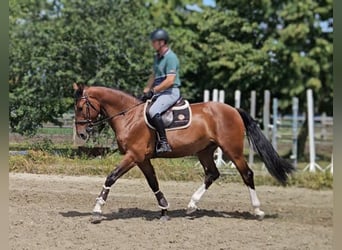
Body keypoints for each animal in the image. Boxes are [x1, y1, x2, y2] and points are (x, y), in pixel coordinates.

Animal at [73, 83, 296, 223]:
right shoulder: (142, 159)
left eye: (81, 107)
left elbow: (111, 177)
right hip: (205, 151)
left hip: (232, 150)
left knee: (247, 174)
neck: (129, 116)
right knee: (212, 174)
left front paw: (97, 209)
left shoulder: (133, 156)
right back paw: (191, 205)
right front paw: (164, 209)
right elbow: (153, 182)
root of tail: (233, 110)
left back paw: (257, 210)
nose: (82, 134)